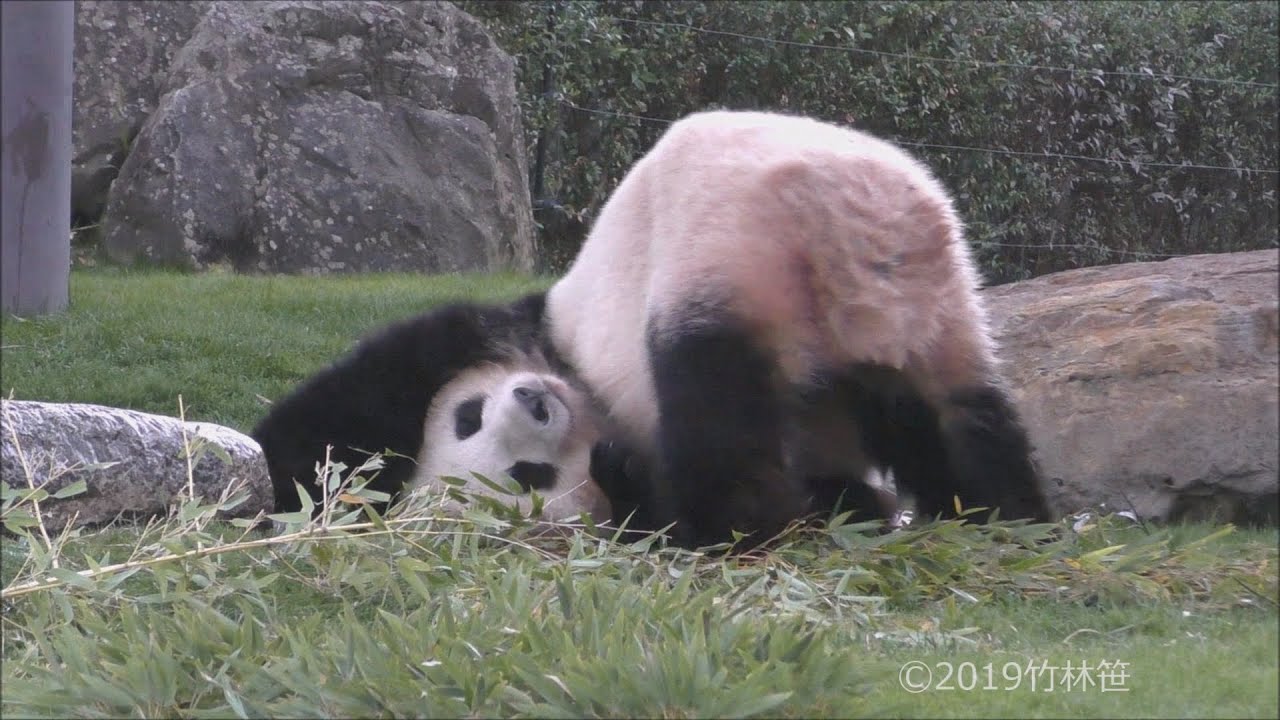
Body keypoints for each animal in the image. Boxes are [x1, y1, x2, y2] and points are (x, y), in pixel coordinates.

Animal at [543, 109, 1053, 548]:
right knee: (967, 425)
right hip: (940, 309)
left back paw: (732, 537)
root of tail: (853, 215)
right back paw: (1011, 524)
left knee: (722, 431)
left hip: (731, 270)